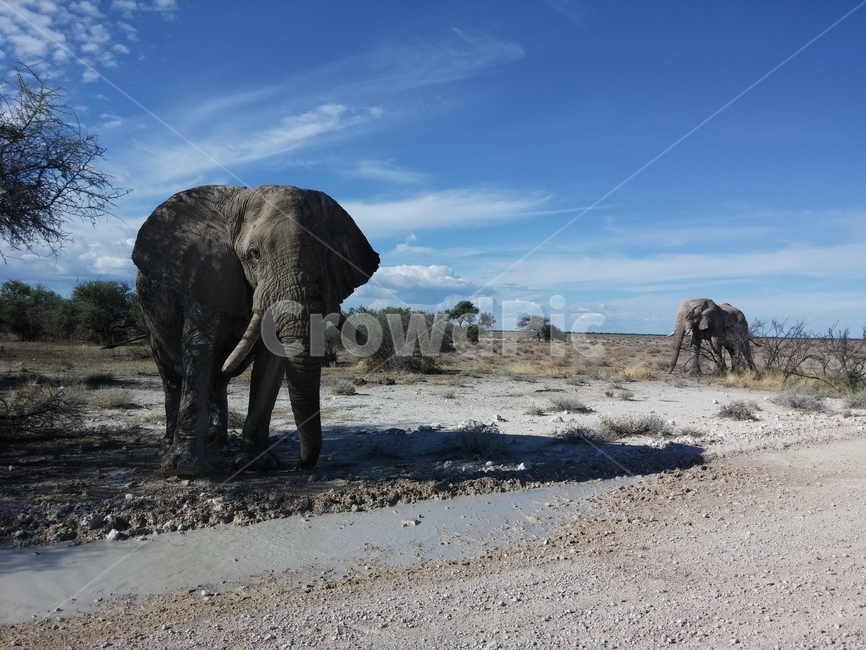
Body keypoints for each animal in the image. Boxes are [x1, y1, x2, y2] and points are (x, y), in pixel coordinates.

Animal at [132, 185, 380, 476]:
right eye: (254, 254)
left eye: (327, 255)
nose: (301, 464)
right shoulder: (205, 274)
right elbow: (199, 349)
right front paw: (185, 468)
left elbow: (271, 363)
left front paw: (257, 464)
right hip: (150, 321)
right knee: (171, 378)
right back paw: (167, 449)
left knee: (217, 379)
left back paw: (218, 446)